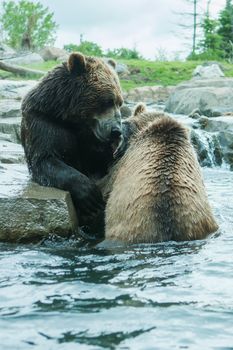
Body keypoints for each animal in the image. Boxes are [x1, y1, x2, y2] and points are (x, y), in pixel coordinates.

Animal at [20, 52, 124, 238]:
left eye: (120, 102)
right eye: (107, 100)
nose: (116, 130)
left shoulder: (92, 139)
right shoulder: (43, 122)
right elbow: (46, 159)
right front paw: (90, 196)